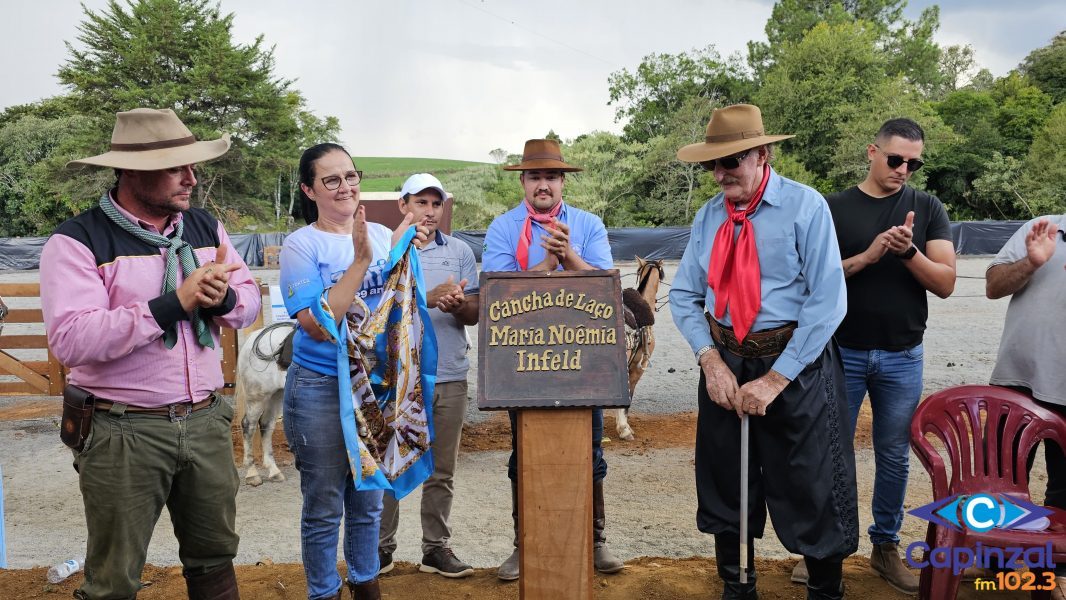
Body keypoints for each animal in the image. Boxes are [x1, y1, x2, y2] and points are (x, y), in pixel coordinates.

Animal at [234, 321, 294, 485]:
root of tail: (254, 336)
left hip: (276, 395)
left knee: (266, 425)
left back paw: (274, 471)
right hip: (257, 398)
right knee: (249, 425)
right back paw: (252, 473)